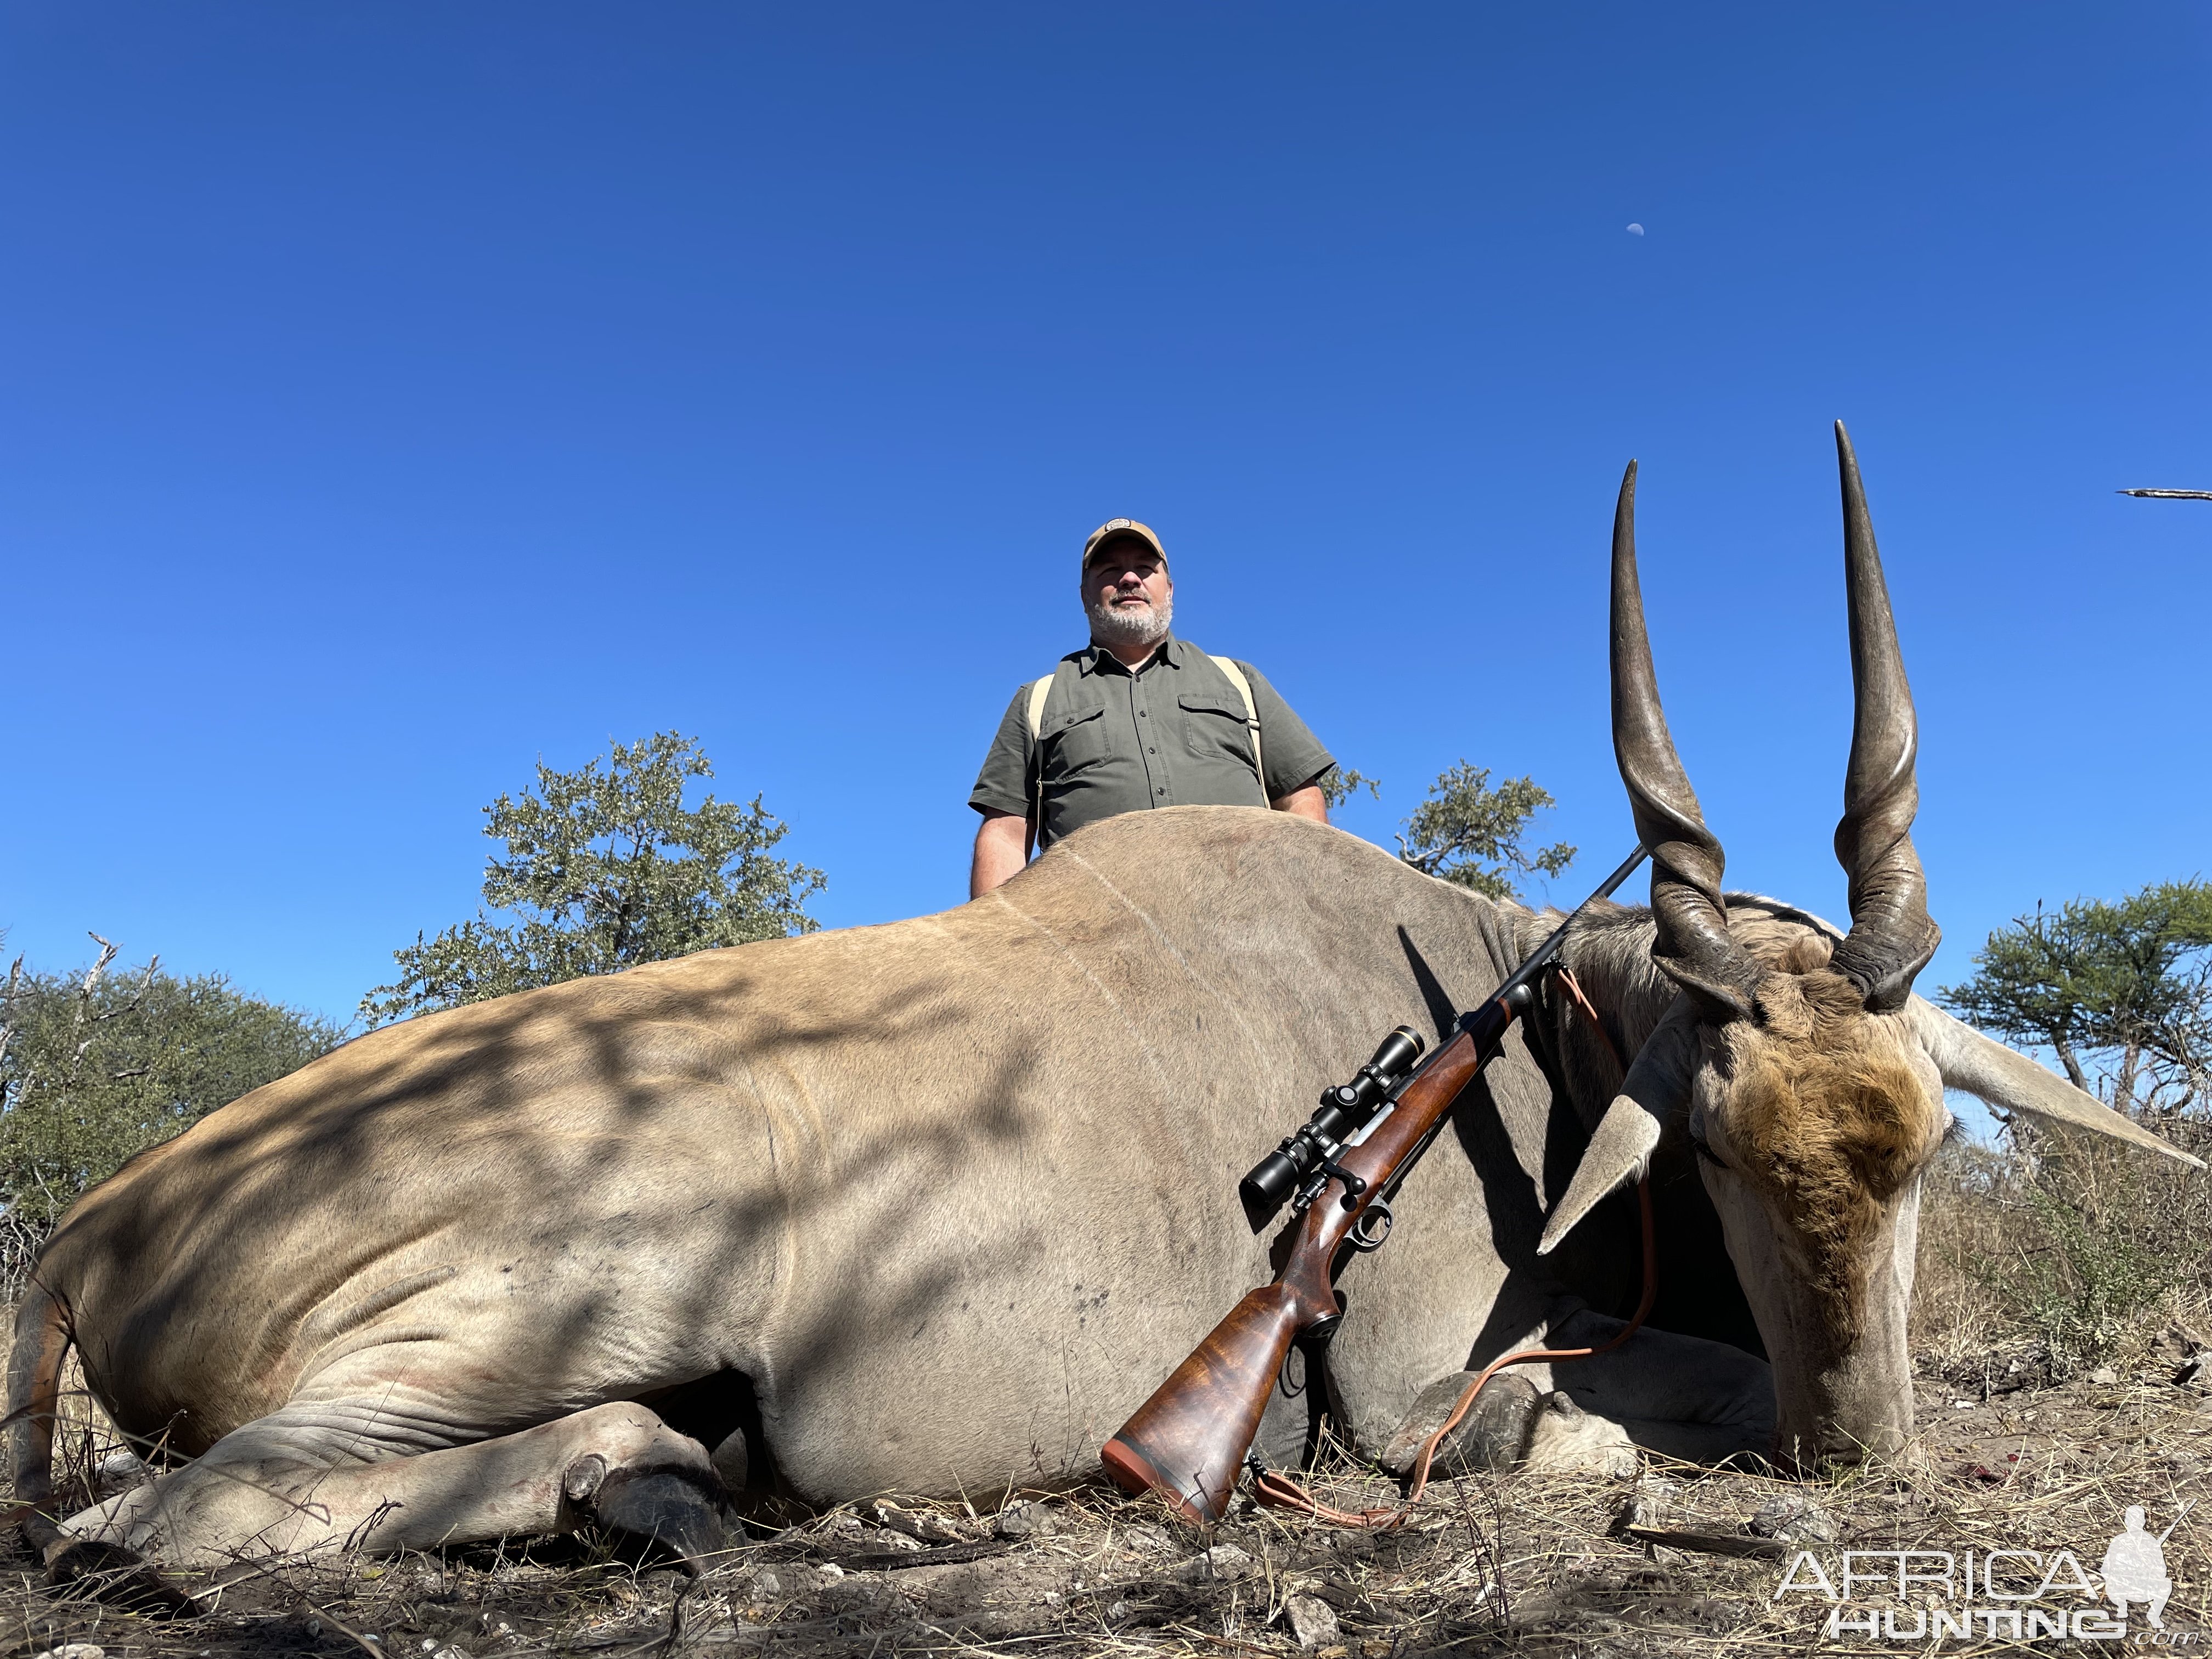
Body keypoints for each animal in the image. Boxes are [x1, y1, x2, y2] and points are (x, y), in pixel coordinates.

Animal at [13, 425, 2194, 1575]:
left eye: (1920, 1145)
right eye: (1723, 1149)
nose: (1862, 1445)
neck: (1536, 1049)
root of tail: (93, 1228)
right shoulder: (1426, 1390)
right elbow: (1586, 1423)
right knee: (155, 1524)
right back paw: (651, 1484)